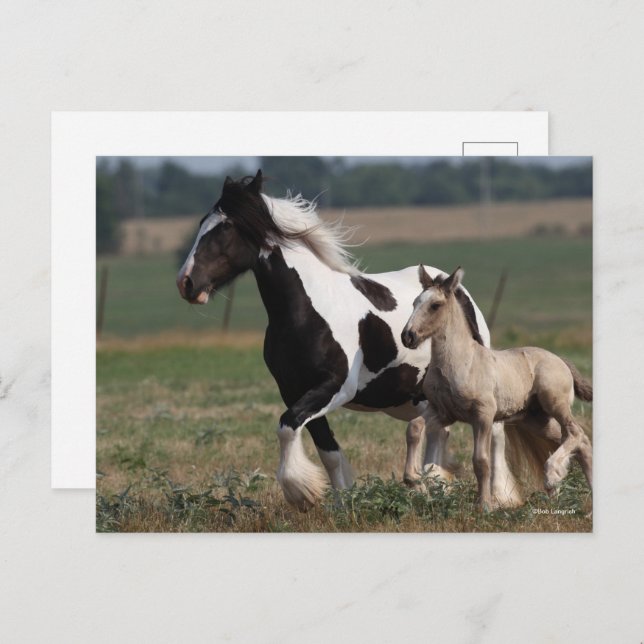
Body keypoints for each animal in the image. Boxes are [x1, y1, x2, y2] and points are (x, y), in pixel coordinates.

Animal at [176, 170, 524, 511]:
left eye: (226, 227)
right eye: (202, 222)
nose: (186, 283)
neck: (306, 310)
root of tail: (452, 286)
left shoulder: (336, 387)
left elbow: (287, 427)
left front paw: (302, 493)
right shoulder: (293, 390)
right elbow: (326, 451)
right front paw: (343, 504)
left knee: (493, 434)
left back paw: (499, 497)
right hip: (419, 396)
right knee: (438, 433)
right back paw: (432, 488)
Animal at [401, 265, 593, 509]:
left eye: (435, 305)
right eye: (415, 302)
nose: (408, 336)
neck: (461, 363)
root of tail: (561, 360)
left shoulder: (483, 415)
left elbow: (481, 461)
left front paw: (484, 505)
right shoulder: (443, 412)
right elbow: (414, 427)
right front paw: (415, 481)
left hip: (554, 404)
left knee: (575, 433)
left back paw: (552, 475)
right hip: (536, 420)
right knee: (580, 441)